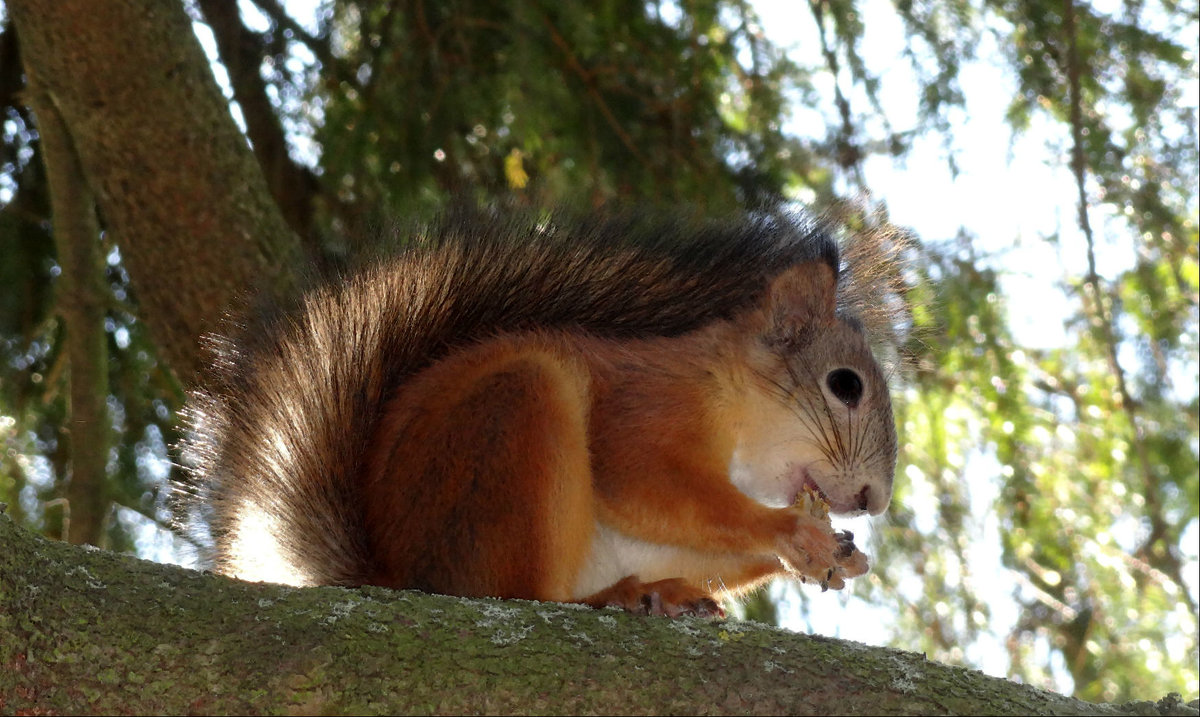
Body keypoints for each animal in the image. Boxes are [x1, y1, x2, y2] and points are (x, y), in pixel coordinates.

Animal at [174, 207, 897, 618]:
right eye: (845, 385)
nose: (875, 499)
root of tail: (397, 575)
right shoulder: (643, 407)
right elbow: (646, 482)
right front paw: (792, 532)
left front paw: (840, 554)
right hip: (517, 415)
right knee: (516, 596)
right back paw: (615, 597)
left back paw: (666, 594)